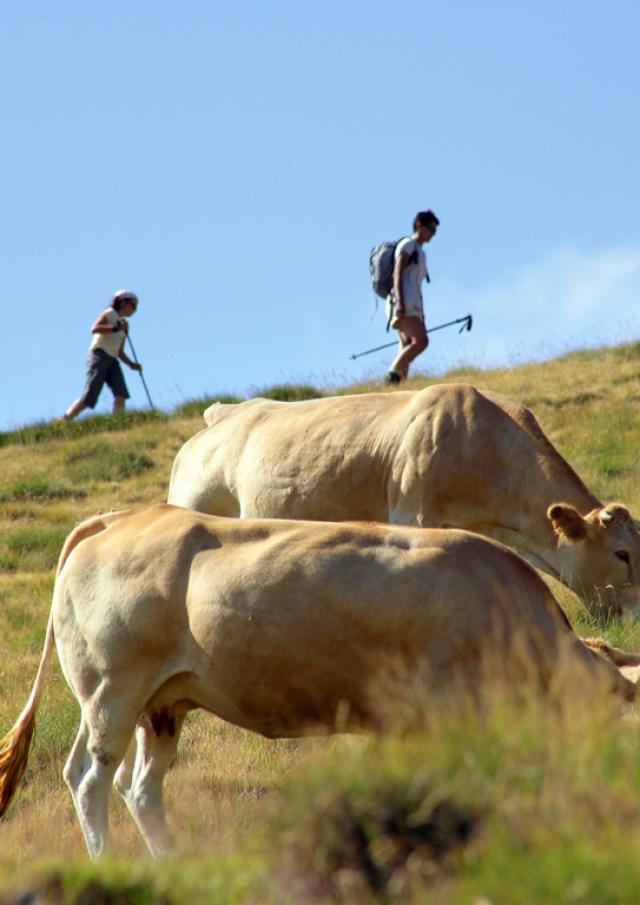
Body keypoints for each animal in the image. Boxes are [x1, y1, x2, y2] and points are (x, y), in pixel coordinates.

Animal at [0, 505, 636, 859]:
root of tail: (126, 517)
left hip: (160, 704)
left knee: (139, 787)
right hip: (112, 690)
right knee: (89, 781)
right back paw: (110, 861)